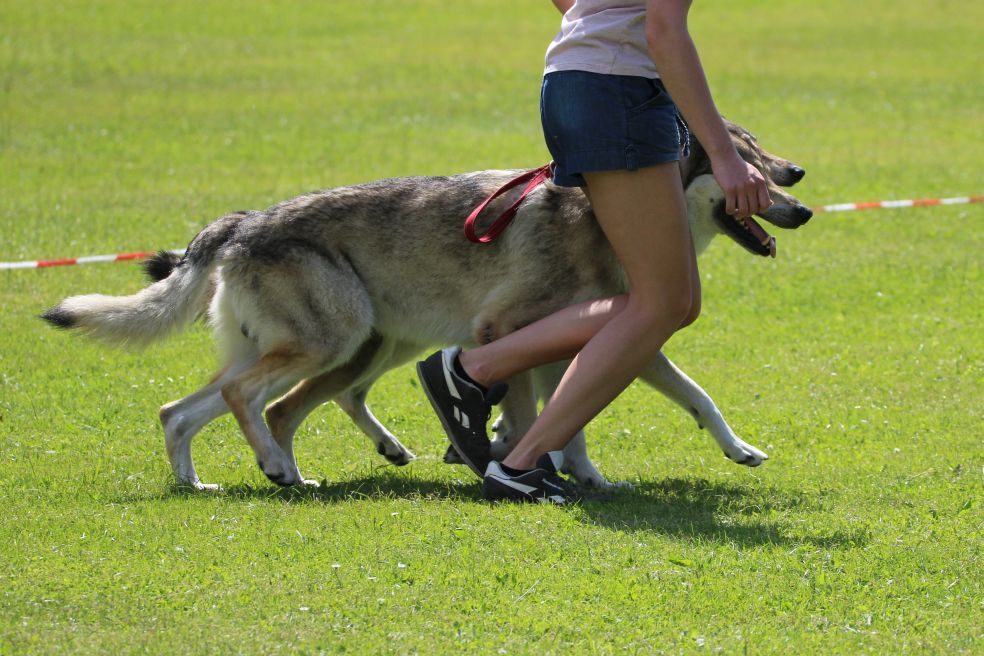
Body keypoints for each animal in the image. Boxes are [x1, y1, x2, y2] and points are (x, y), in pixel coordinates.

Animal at [43, 120, 811, 490]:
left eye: (766, 158)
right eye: (747, 164)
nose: (802, 196)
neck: (607, 222)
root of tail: (241, 221)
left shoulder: (618, 339)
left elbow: (674, 404)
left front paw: (734, 453)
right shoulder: (502, 330)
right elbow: (537, 415)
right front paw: (516, 464)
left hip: (362, 347)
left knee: (186, 412)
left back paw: (225, 483)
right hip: (334, 342)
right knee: (247, 400)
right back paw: (278, 470)